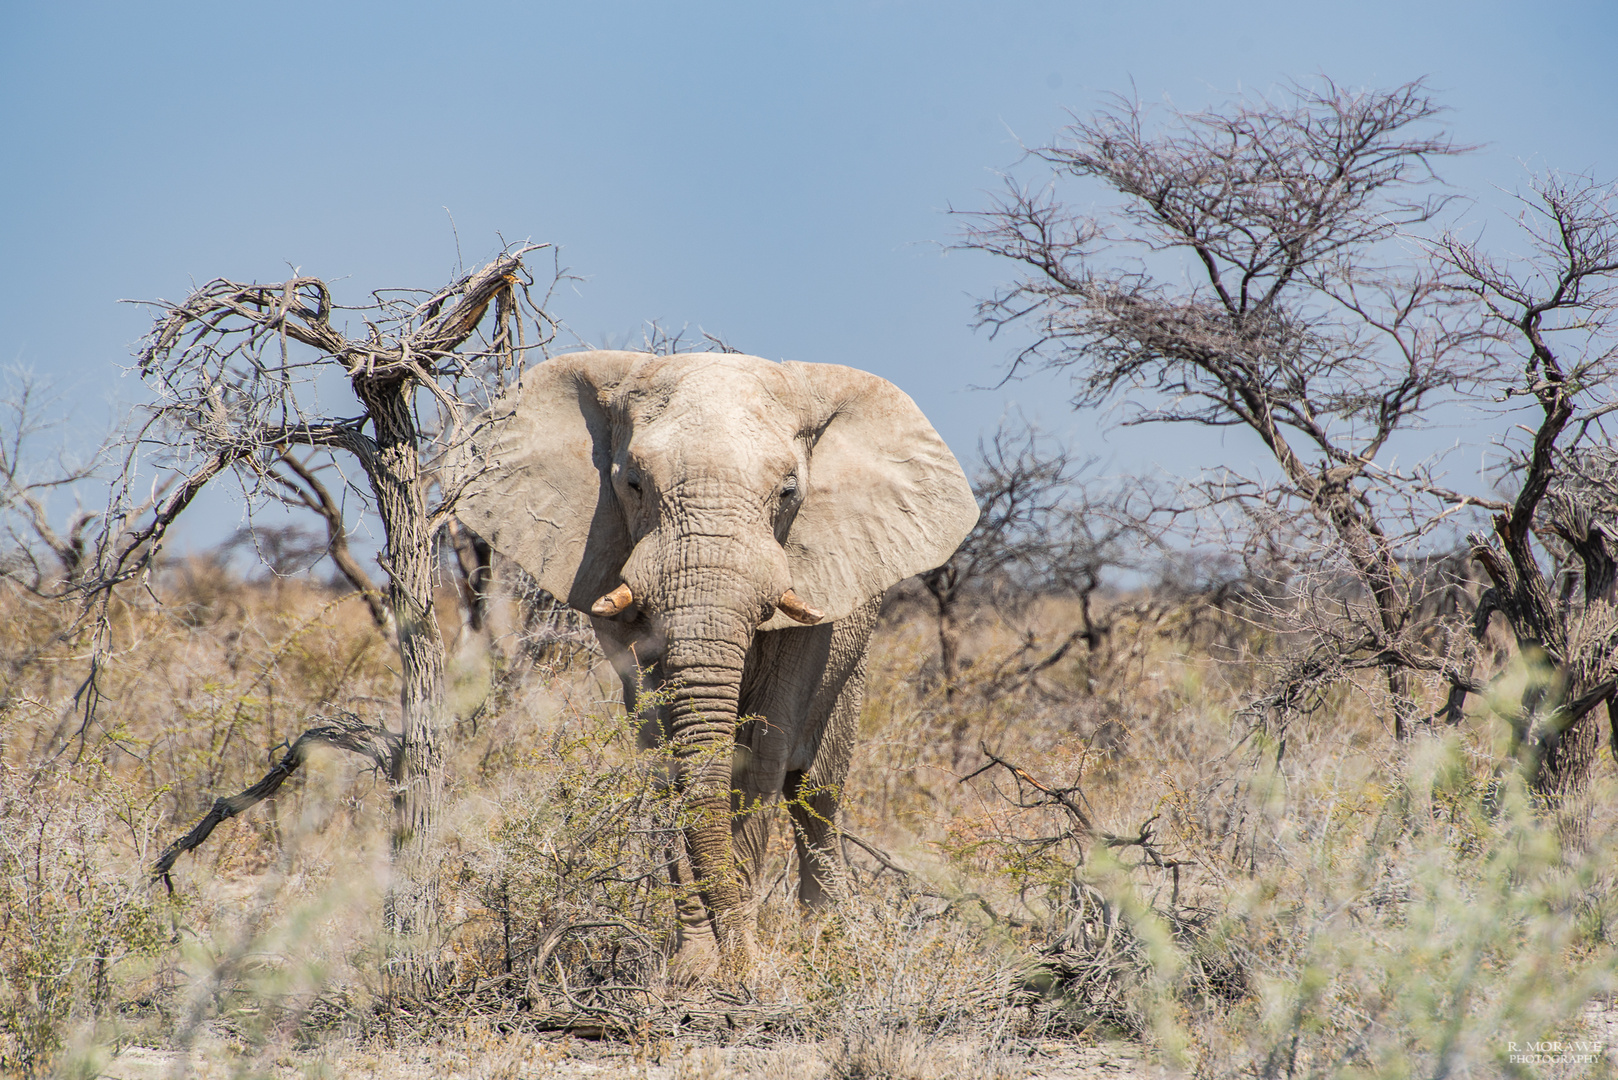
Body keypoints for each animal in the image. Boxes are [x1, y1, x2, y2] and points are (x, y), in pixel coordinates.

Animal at [456, 351, 977, 984]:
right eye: (633, 484)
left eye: (788, 491)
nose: (747, 963)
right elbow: (665, 756)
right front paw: (698, 973)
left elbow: (759, 755)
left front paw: (743, 968)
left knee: (817, 792)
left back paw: (829, 942)